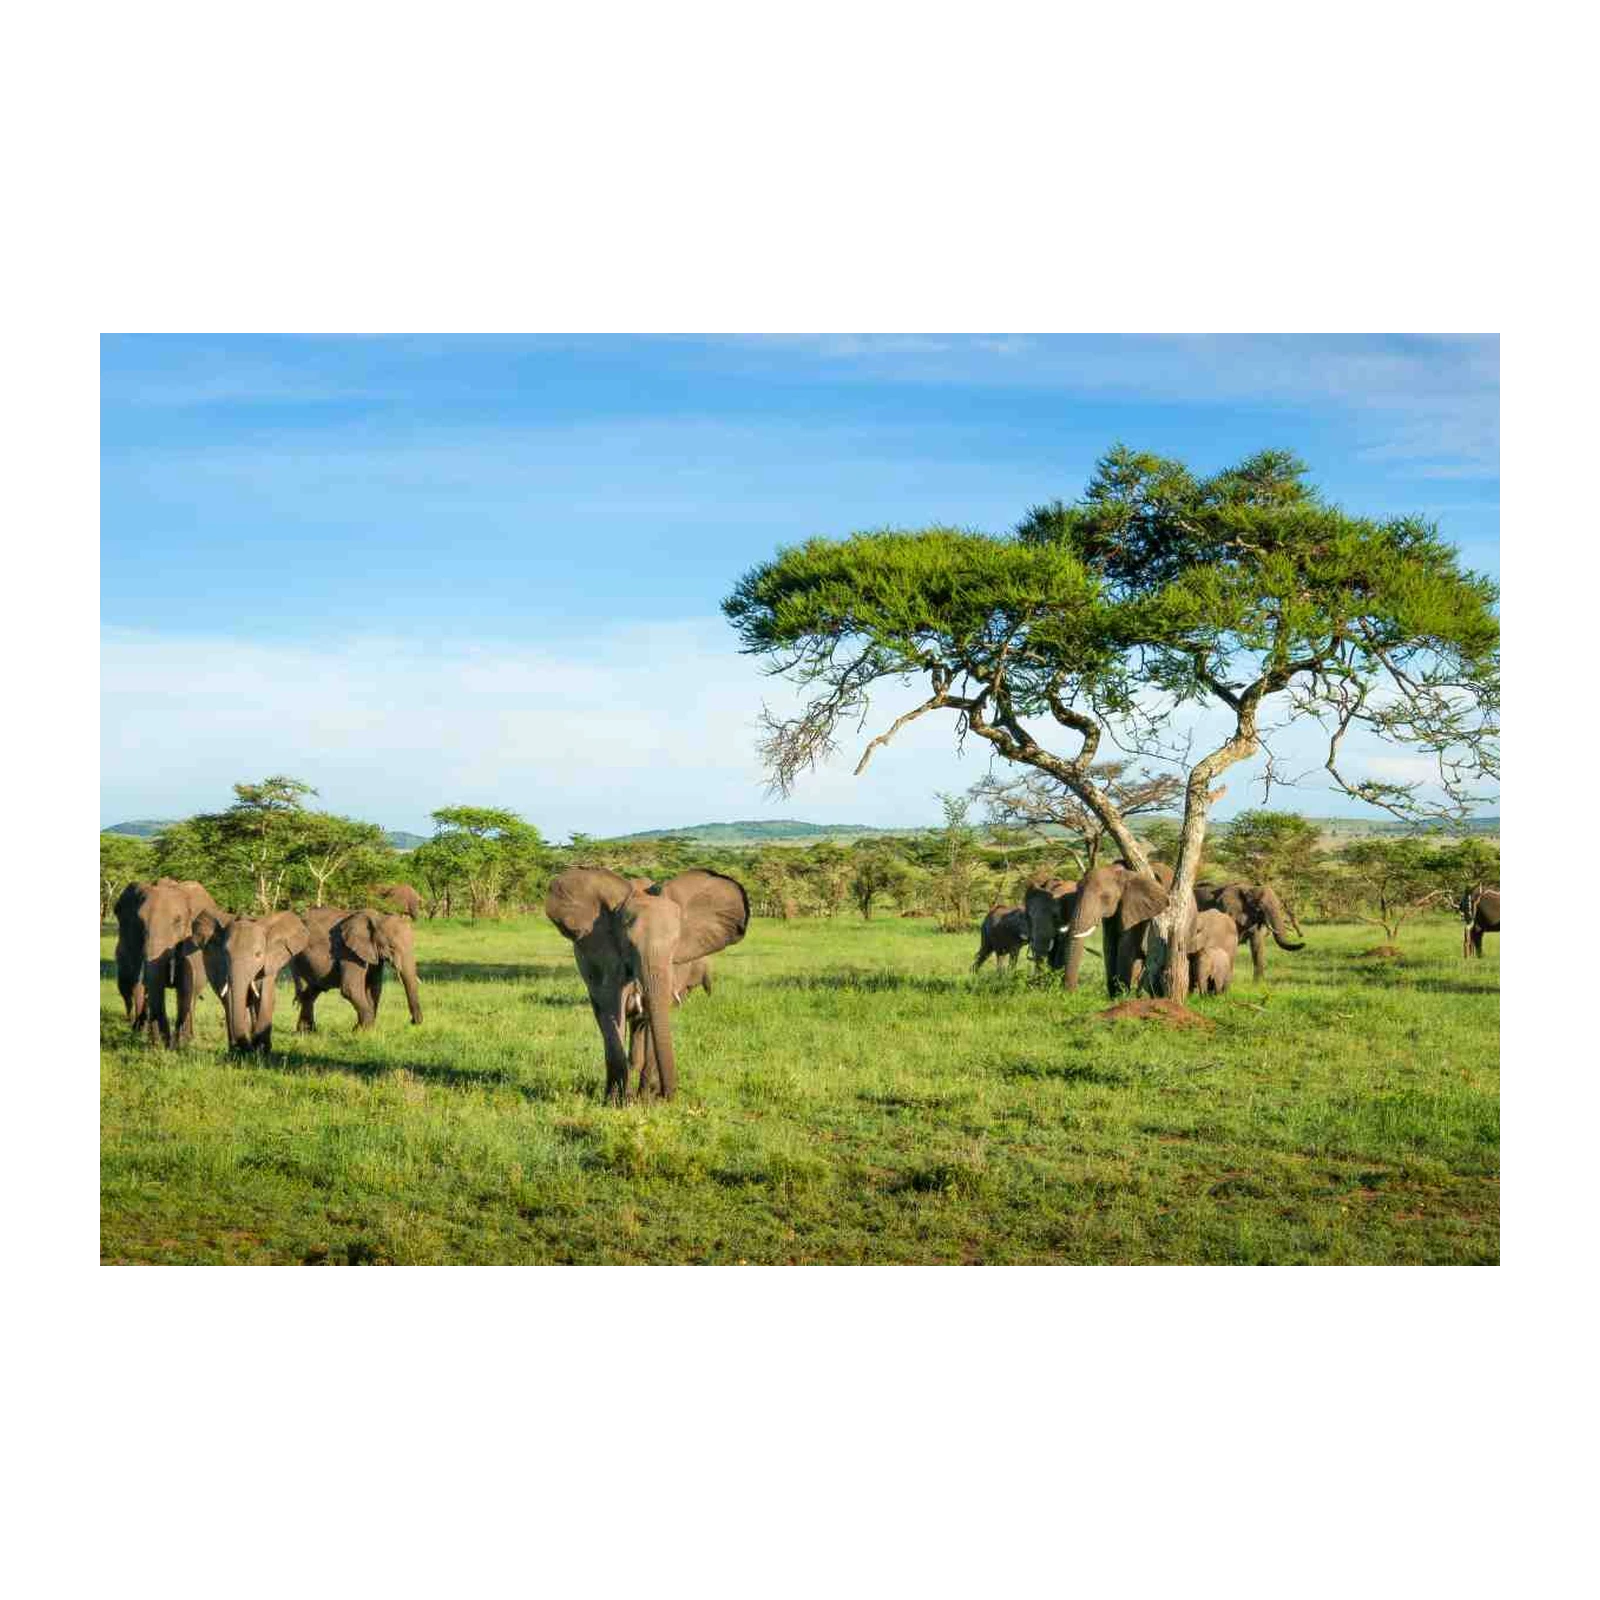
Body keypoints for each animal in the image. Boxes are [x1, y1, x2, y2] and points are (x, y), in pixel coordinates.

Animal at [113, 877, 222, 1045]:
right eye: (141, 922)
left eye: (177, 921)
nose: (165, 1042)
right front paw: (158, 1043)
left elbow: (186, 985)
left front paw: (181, 1044)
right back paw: (139, 1032)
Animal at [188, 909, 308, 1053]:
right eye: (225, 954)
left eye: (258, 955)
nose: (252, 1047)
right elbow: (230, 999)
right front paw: (243, 1050)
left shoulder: (269, 962)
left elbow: (264, 997)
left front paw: (262, 1049)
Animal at [291, 907, 424, 1032]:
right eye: (391, 947)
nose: (413, 1022)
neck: (378, 918)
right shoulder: (349, 952)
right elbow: (350, 988)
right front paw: (362, 1031)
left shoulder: (372, 954)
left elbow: (373, 988)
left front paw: (364, 1030)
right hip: (298, 958)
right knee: (307, 990)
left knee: (311, 991)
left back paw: (306, 1032)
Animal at [545, 866, 749, 1103]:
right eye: (629, 944)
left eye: (677, 945)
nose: (666, 1096)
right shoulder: (608, 959)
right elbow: (612, 1013)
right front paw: (616, 1102)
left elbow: (653, 1017)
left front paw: (645, 1100)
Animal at [1059, 861, 1174, 997]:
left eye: (1105, 897)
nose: (1070, 993)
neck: (1121, 873)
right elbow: (1109, 944)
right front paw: (1114, 996)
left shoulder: (1135, 911)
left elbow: (1125, 945)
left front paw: (1121, 995)